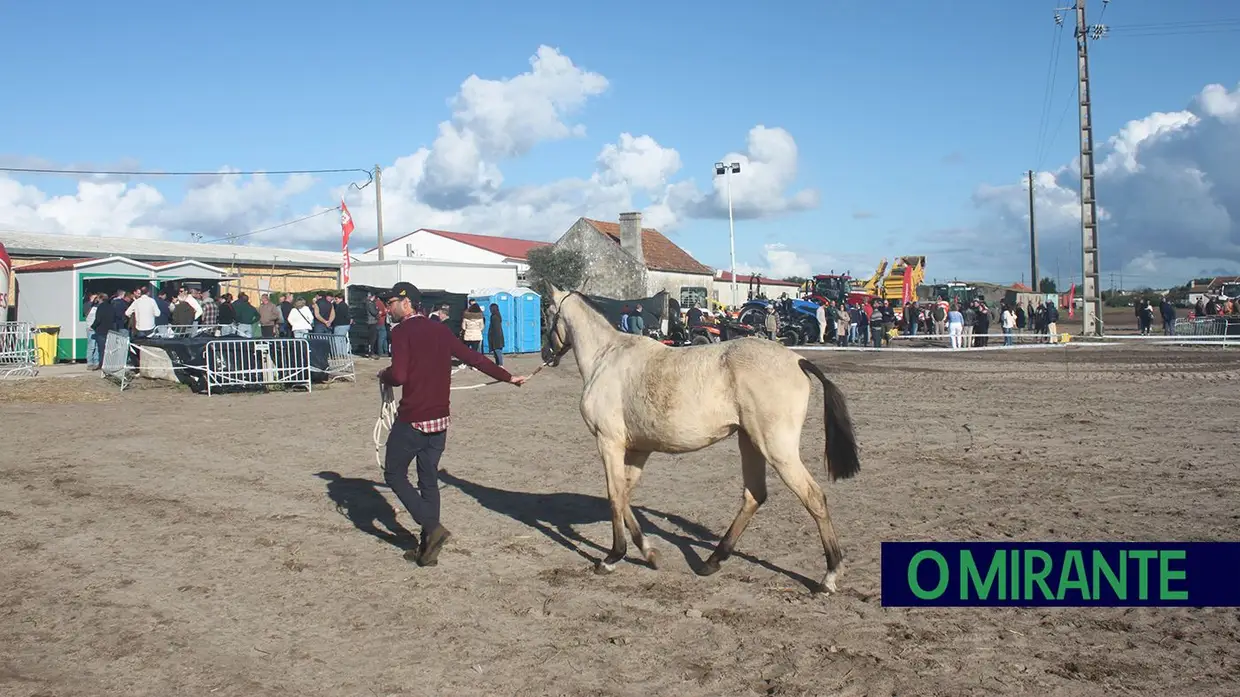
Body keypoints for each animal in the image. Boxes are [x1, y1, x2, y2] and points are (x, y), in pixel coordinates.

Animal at [543, 285, 863, 587]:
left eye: (546, 313)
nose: (546, 355)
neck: (606, 357)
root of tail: (797, 360)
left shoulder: (608, 442)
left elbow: (614, 494)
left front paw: (612, 557)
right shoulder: (637, 449)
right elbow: (624, 494)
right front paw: (649, 552)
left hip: (777, 450)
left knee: (813, 497)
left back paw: (830, 575)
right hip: (750, 443)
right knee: (754, 495)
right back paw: (712, 561)